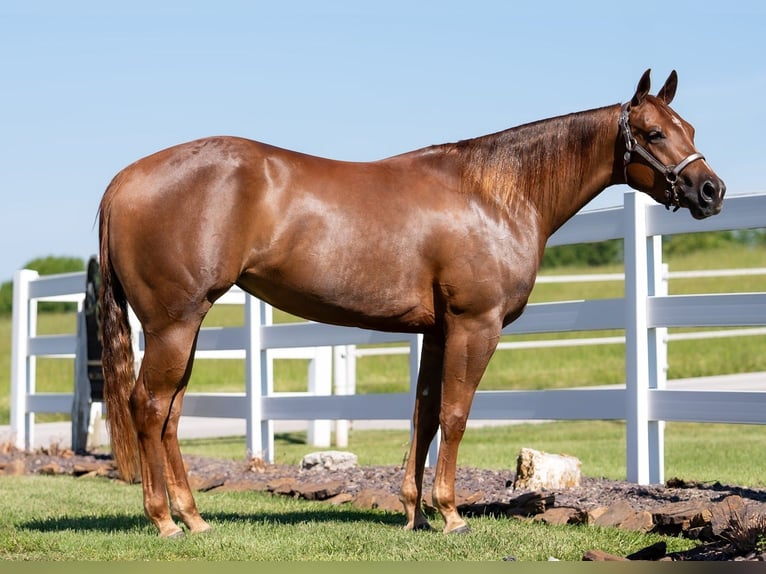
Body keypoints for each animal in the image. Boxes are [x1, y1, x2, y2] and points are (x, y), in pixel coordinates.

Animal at [100, 70, 728, 536]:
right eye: (652, 132)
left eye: (689, 126)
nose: (711, 191)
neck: (492, 195)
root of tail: (123, 180)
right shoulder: (476, 326)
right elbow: (454, 414)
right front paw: (450, 514)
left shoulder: (437, 330)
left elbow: (424, 413)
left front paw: (414, 512)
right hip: (174, 324)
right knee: (148, 407)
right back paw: (165, 522)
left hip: (184, 326)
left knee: (171, 413)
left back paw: (193, 518)